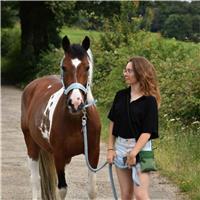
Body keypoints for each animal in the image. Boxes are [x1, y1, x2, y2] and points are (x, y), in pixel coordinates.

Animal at [21, 35, 101, 199]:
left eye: (87, 67)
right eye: (64, 67)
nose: (75, 102)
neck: (77, 120)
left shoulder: (93, 153)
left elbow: (92, 190)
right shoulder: (59, 154)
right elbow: (62, 189)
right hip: (31, 144)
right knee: (35, 180)